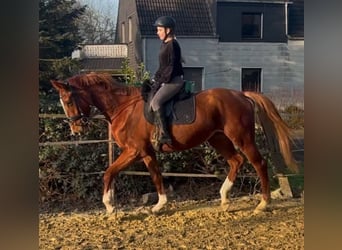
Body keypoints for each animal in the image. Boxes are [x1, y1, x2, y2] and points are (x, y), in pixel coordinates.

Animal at [50, 73, 296, 215]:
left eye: (69, 100)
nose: (75, 130)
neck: (123, 107)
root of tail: (241, 94)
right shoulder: (146, 152)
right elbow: (156, 175)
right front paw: (160, 204)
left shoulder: (133, 151)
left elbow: (109, 172)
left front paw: (109, 206)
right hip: (217, 138)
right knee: (236, 161)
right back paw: (225, 198)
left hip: (241, 138)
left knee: (259, 163)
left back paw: (263, 204)